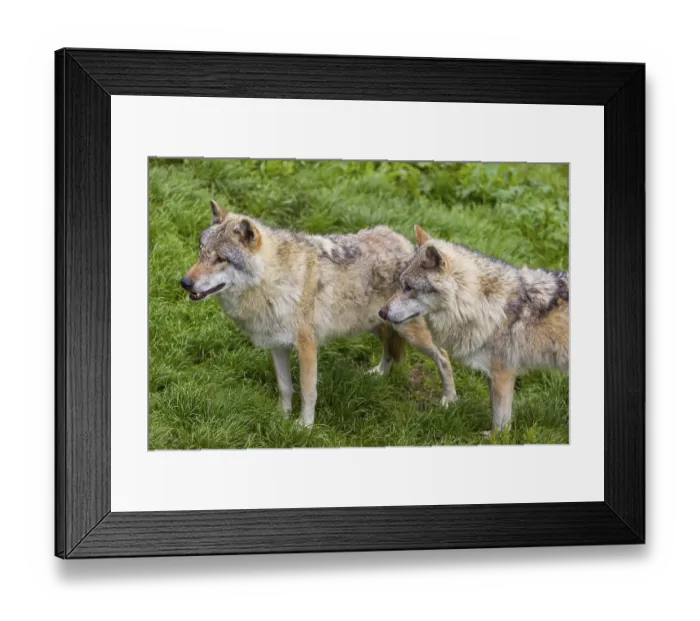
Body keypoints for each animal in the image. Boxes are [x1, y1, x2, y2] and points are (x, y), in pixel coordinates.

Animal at [181, 201, 457, 427]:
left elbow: (307, 390)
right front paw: (281, 417)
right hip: (379, 324)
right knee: (389, 350)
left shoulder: (307, 347)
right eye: (201, 251)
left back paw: (449, 400)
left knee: (443, 356)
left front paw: (304, 427)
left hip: (411, 333)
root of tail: (408, 245)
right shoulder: (277, 345)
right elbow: (285, 387)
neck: (273, 280)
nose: (185, 282)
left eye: (221, 259)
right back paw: (379, 374)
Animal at [379, 225, 569, 433]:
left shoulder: (503, 374)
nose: (381, 312)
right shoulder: (492, 375)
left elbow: (500, 424)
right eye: (400, 284)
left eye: (409, 287)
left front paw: (493, 437)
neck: (483, 304)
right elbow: (497, 415)